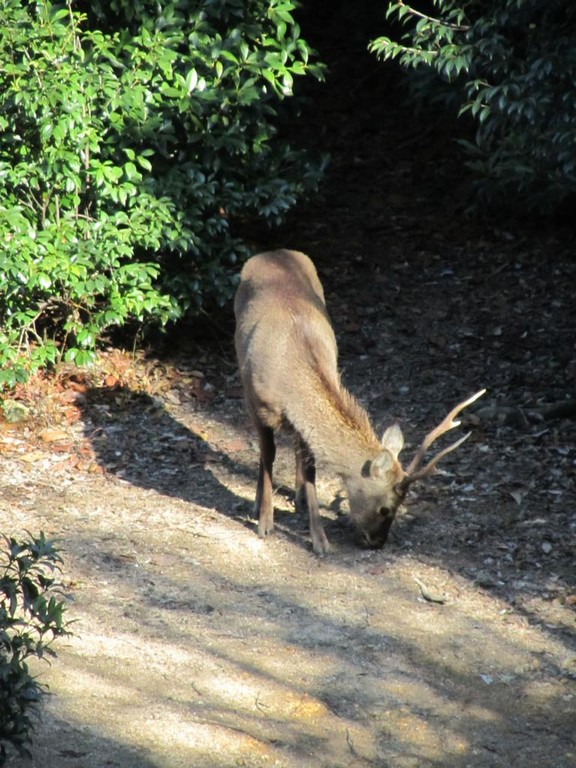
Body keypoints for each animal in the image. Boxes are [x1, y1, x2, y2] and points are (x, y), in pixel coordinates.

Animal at [234, 249, 485, 555]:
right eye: (386, 508)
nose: (377, 543)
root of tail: (272, 252)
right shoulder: (255, 401)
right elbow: (267, 456)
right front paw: (264, 523)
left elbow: (311, 470)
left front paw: (319, 540)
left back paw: (300, 499)